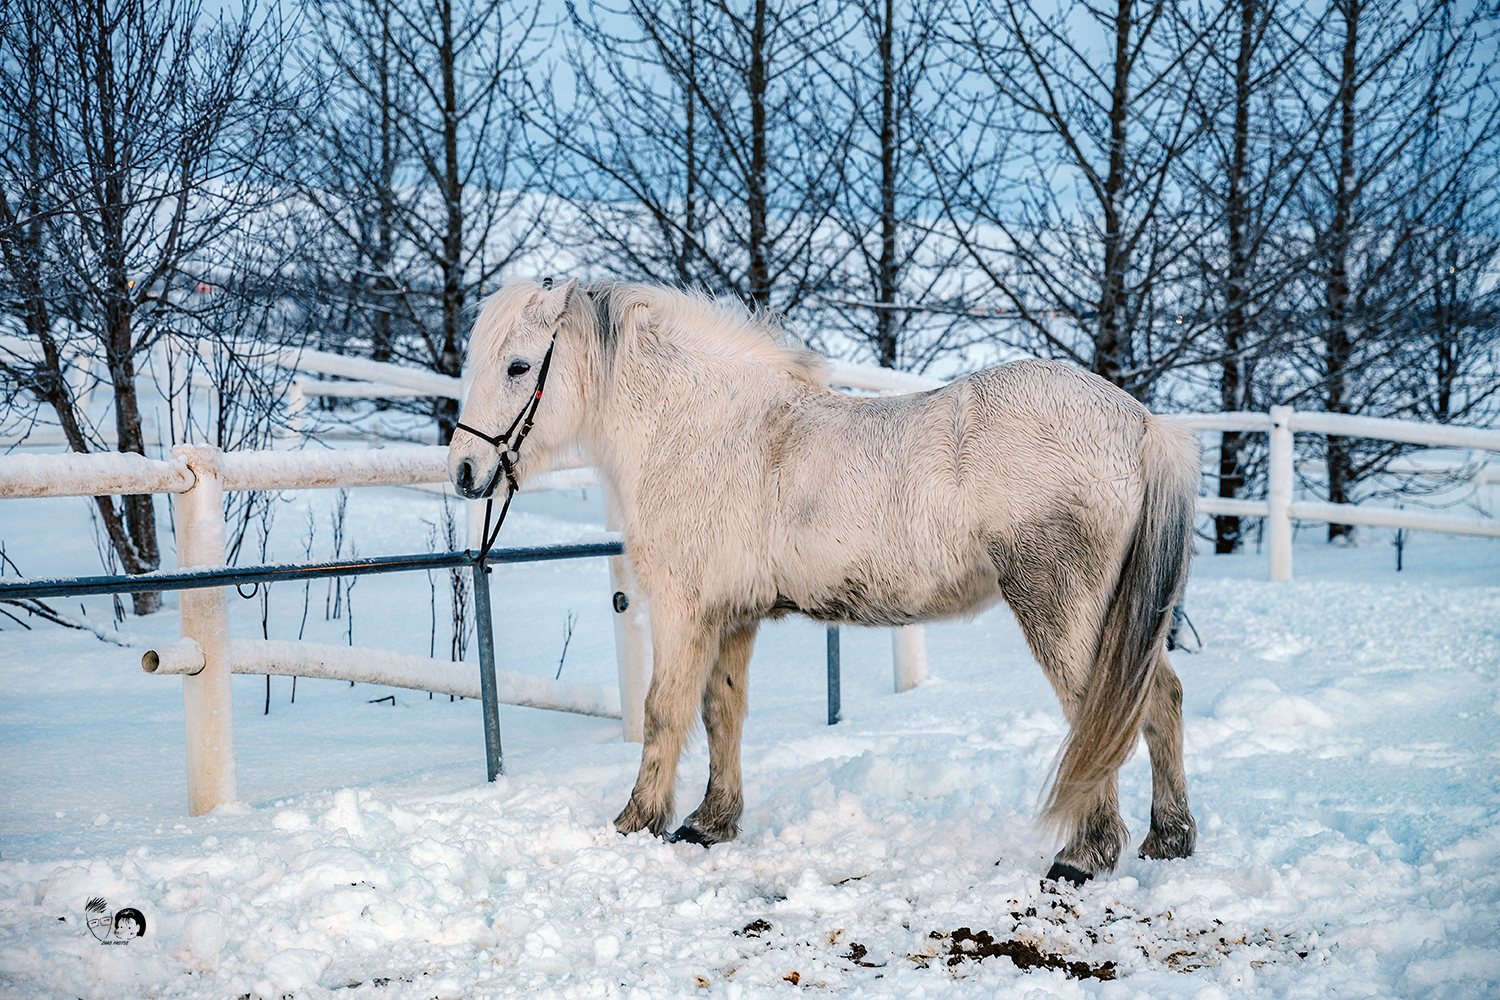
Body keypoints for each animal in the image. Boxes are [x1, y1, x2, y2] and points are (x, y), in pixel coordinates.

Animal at [450, 277, 1200, 881]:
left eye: (518, 366)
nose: (462, 471)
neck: (702, 428)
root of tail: (1140, 424)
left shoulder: (683, 611)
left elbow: (664, 711)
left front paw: (635, 824)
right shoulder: (732, 615)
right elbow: (721, 713)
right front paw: (709, 823)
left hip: (1062, 609)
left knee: (1101, 716)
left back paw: (1083, 857)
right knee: (1160, 700)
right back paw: (1169, 839)